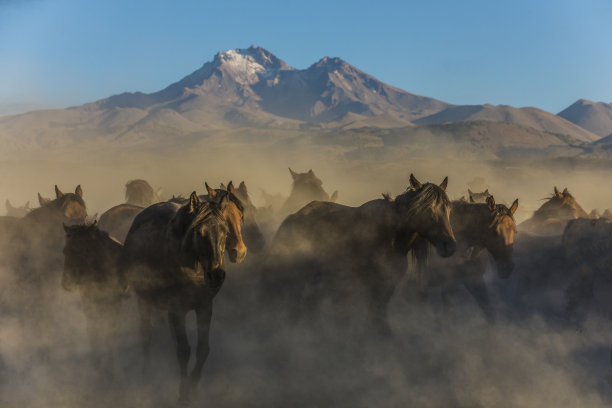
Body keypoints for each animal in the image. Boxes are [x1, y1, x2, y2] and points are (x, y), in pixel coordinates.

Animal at [61, 222, 126, 378]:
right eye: (64, 251)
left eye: (83, 250)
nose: (67, 283)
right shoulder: (89, 302)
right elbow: (93, 330)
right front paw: (96, 364)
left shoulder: (114, 302)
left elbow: (110, 329)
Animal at [122, 186, 246, 404]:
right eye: (199, 232)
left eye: (224, 231)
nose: (216, 274)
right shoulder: (177, 309)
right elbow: (184, 350)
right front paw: (183, 393)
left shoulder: (204, 307)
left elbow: (202, 349)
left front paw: (193, 387)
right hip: (145, 301)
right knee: (146, 335)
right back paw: (146, 373)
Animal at [260, 174, 456, 336]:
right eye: (427, 209)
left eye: (448, 209)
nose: (450, 246)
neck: (390, 236)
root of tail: (294, 216)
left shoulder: (387, 283)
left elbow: (379, 312)